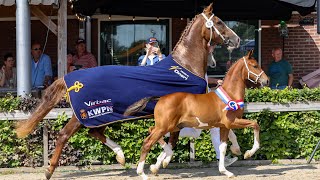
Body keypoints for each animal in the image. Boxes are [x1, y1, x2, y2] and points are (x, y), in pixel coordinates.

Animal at [15, 3, 240, 179]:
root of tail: (71, 79)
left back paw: (120, 155)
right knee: (64, 135)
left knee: (94, 132)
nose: (236, 39)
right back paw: (49, 171)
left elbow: (177, 137)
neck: (184, 67)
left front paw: (157, 164)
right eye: (219, 22)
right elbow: (176, 138)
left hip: (97, 116)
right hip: (87, 114)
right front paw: (158, 163)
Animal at [124, 49, 268, 179]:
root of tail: (160, 98)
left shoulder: (224, 126)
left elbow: (222, 147)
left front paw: (226, 170)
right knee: (147, 143)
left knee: (154, 133)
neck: (230, 94)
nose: (266, 81)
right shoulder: (232, 121)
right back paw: (143, 173)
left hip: (172, 127)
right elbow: (255, 124)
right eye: (255, 66)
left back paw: (161, 162)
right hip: (164, 127)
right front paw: (248, 153)